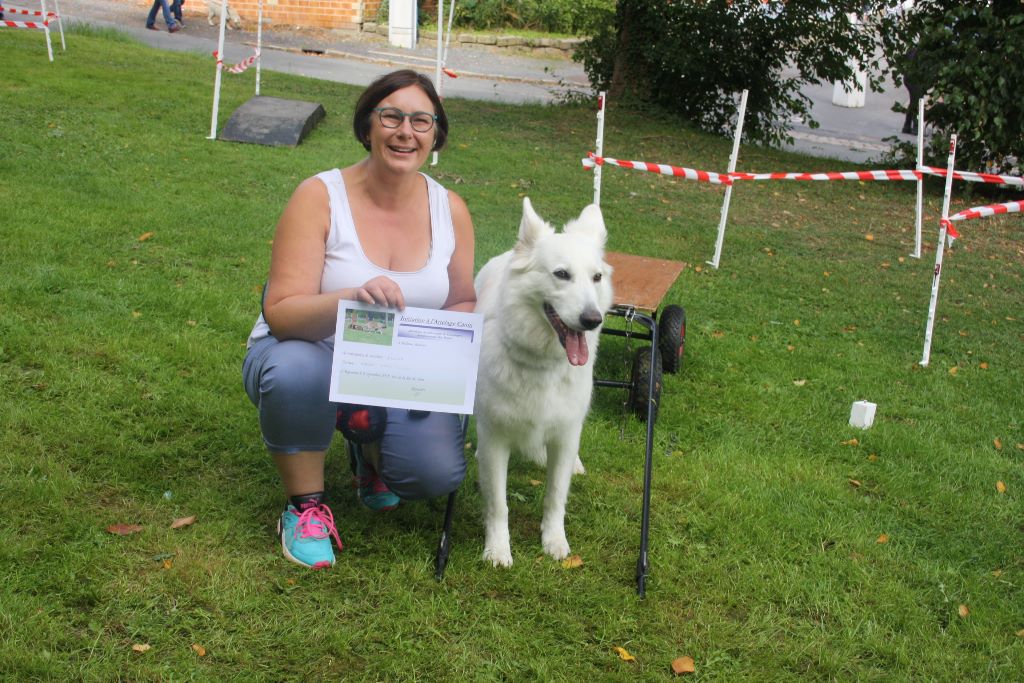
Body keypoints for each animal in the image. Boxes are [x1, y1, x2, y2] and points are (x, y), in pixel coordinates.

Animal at [474, 197, 613, 567]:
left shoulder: (565, 436)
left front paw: (554, 541)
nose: (593, 320)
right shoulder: (496, 440)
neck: (543, 365)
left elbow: (555, 497)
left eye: (596, 277)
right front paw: (498, 550)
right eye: (562, 274)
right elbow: (498, 505)